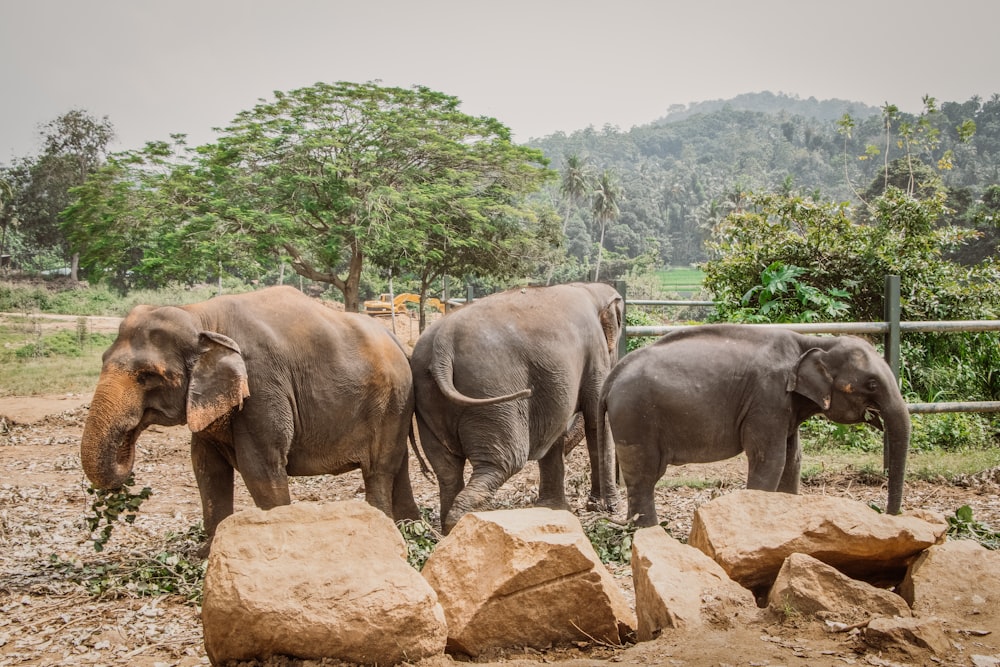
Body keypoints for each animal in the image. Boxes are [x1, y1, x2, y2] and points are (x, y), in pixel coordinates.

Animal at [80, 284, 420, 552]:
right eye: (102, 360)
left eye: (148, 376)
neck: (202, 316)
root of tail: (397, 339)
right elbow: (206, 468)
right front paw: (205, 555)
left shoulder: (262, 384)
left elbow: (260, 466)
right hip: (396, 406)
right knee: (397, 466)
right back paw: (411, 529)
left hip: (389, 402)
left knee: (378, 469)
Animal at [410, 282, 620, 532]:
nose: (596, 505)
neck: (589, 288)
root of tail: (443, 343)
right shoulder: (595, 352)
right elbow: (596, 422)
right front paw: (609, 508)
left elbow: (558, 432)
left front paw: (555, 509)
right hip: (492, 390)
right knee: (506, 461)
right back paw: (465, 522)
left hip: (428, 400)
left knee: (447, 470)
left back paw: (450, 528)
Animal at [596, 324, 912, 528]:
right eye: (872, 384)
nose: (887, 515)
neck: (814, 341)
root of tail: (613, 375)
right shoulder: (768, 398)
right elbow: (769, 460)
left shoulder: (785, 406)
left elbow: (792, 460)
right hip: (635, 417)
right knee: (644, 475)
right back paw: (649, 532)